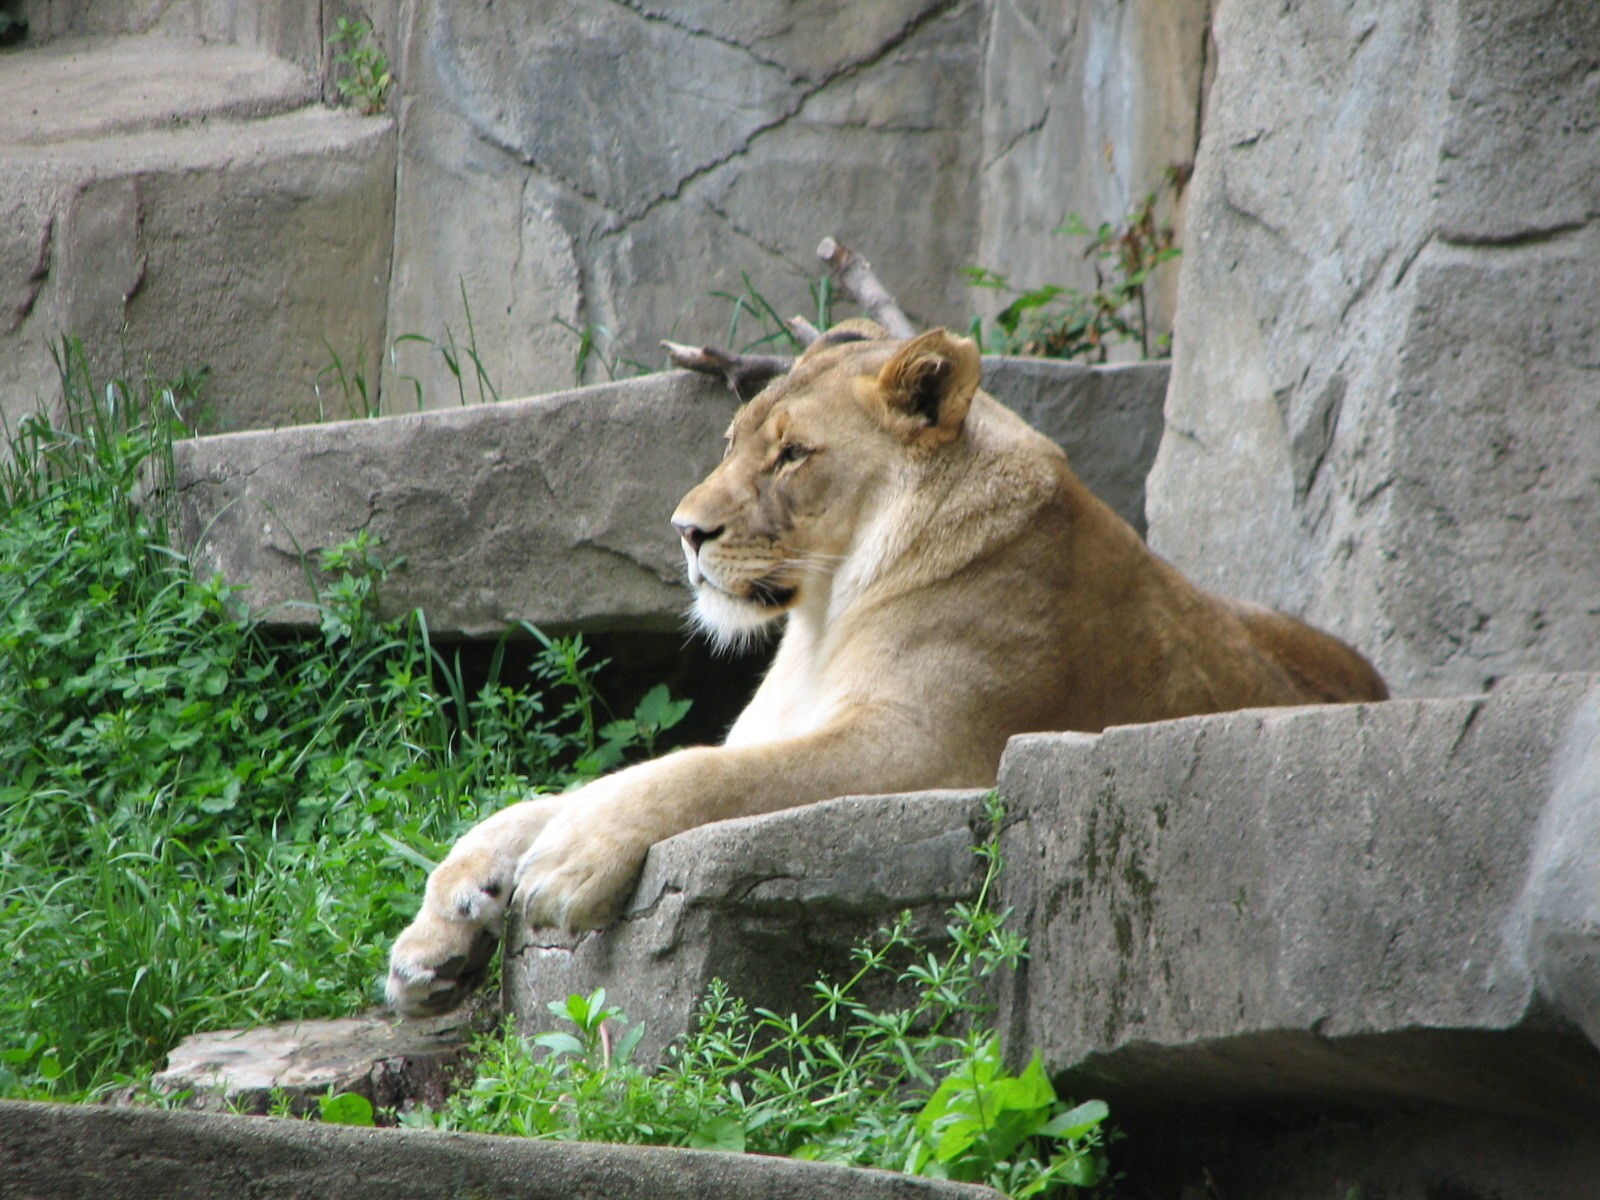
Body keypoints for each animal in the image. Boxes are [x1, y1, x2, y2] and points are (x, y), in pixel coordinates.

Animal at [385, 324, 1386, 1016]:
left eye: (793, 454)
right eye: (731, 442)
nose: (685, 531)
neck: (822, 617)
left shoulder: (923, 749)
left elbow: (695, 776)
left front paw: (565, 867)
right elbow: (544, 800)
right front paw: (434, 937)